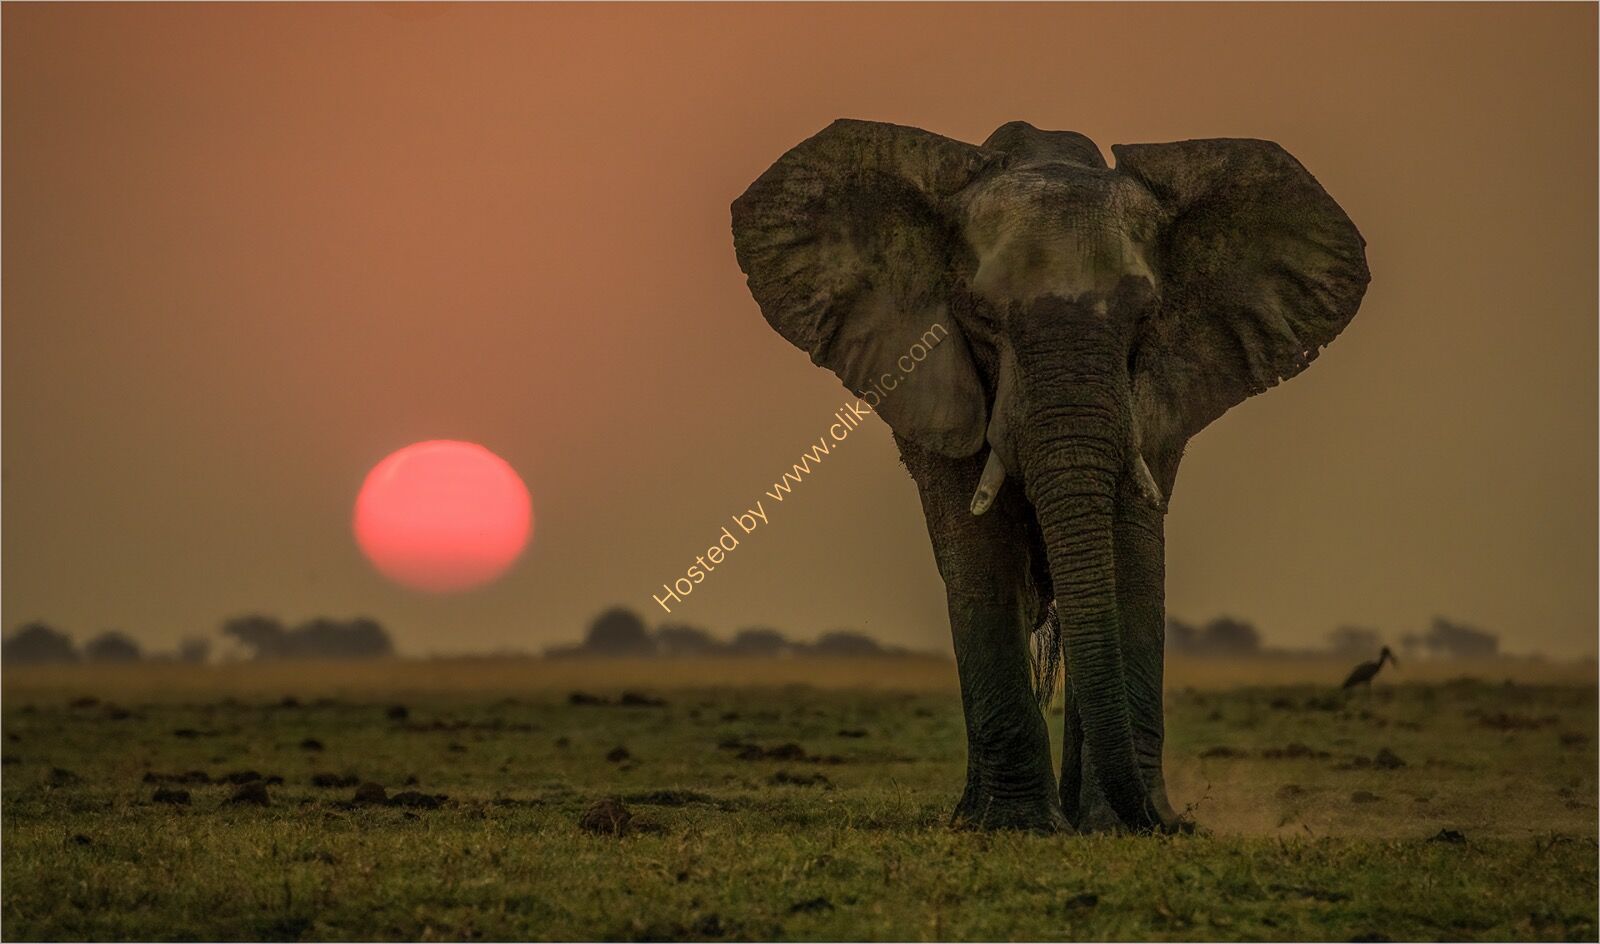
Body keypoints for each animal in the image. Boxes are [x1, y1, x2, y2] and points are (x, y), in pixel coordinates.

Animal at [729, 119, 1369, 833]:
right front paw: (1019, 826)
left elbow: (1130, 548)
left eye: (1146, 317)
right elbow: (979, 552)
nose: (1178, 823)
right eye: (982, 316)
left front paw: (1116, 826)